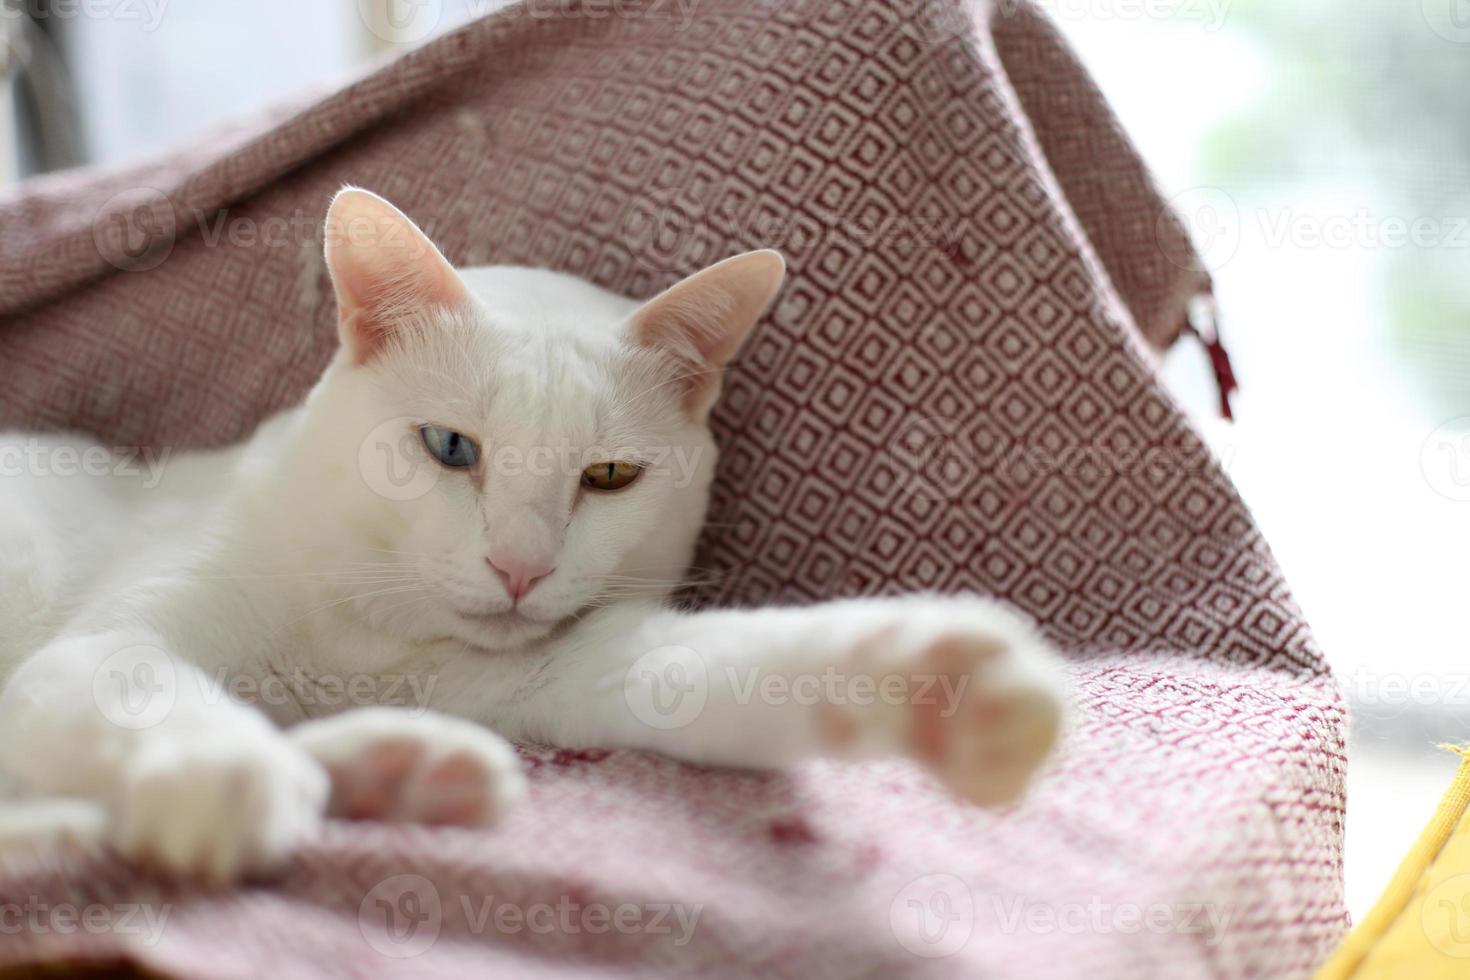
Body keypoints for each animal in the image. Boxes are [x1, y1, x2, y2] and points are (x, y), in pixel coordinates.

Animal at [0, 185, 1064, 881]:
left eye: (609, 477)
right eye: (448, 448)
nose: (520, 568)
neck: (371, 642)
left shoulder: (567, 669)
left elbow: (739, 664)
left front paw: (940, 689)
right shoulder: (100, 646)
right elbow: (147, 687)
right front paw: (222, 773)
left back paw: (396, 772)